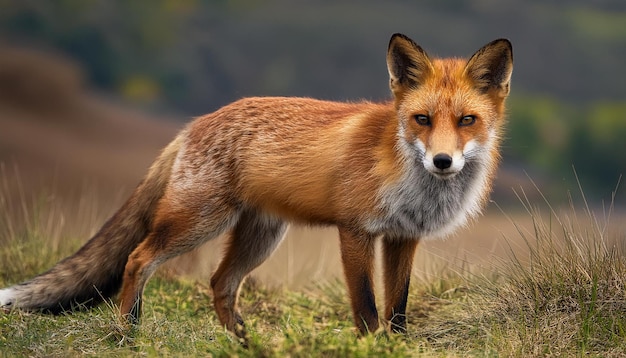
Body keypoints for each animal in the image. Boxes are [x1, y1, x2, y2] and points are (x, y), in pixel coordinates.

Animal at [0, 32, 510, 338]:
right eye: (422, 119)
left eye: (467, 120)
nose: (442, 161)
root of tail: (195, 123)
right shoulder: (355, 231)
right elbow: (366, 308)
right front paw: (372, 345)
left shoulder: (403, 237)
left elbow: (398, 309)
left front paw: (397, 345)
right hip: (199, 222)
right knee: (137, 258)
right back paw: (129, 332)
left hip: (260, 238)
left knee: (220, 283)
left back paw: (241, 342)